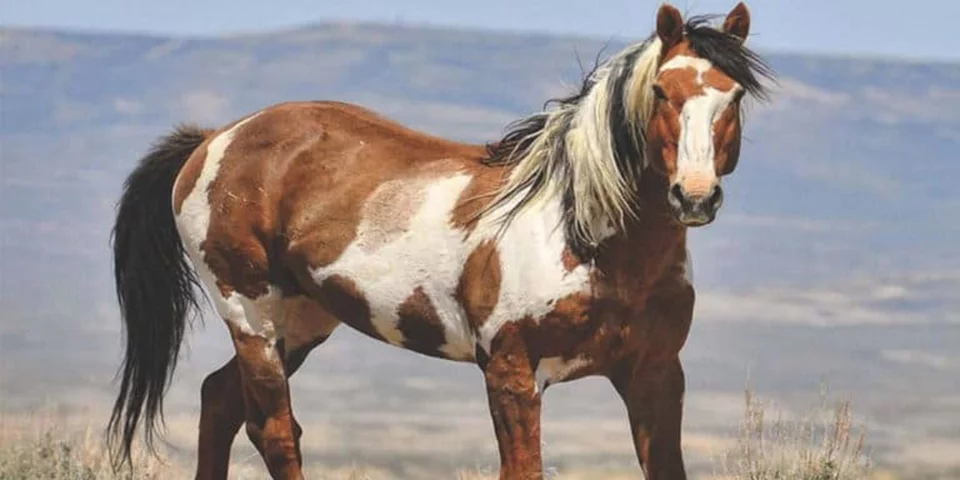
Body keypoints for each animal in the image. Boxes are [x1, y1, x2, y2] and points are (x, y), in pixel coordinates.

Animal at [109, 4, 776, 480]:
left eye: (734, 95)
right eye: (663, 92)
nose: (695, 197)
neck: (591, 245)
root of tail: (214, 139)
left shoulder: (655, 375)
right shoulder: (511, 372)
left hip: (302, 320)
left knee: (219, 402)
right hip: (252, 314)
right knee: (274, 430)